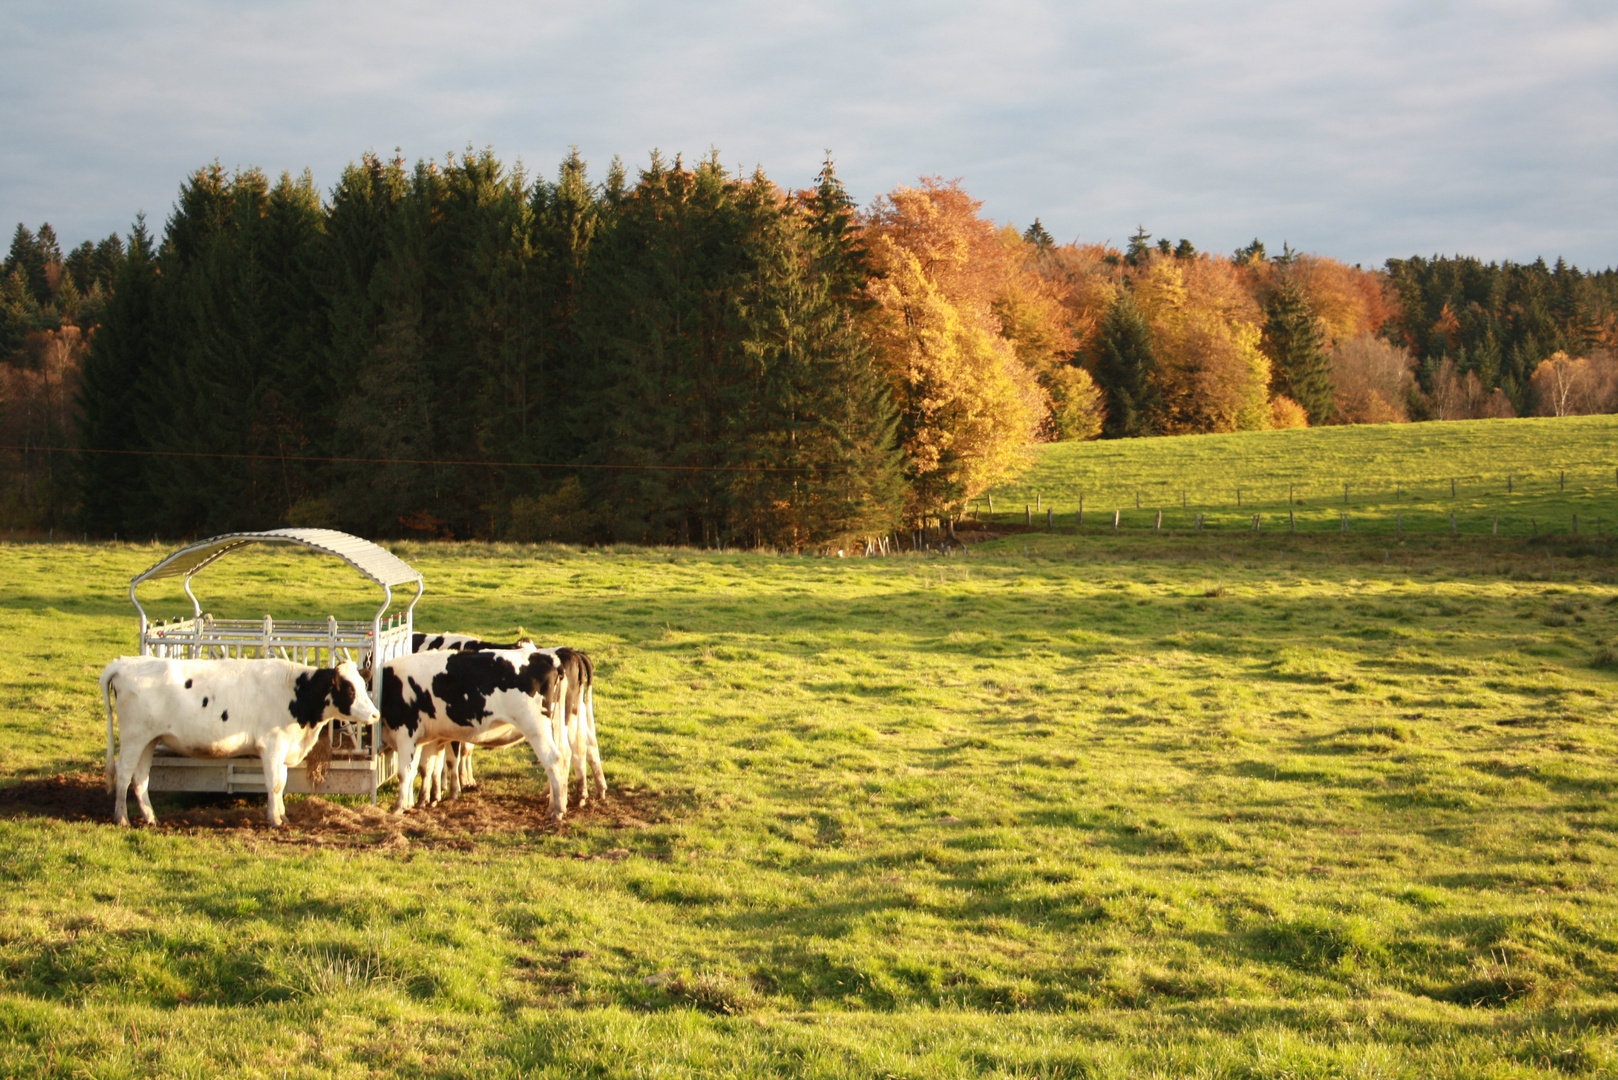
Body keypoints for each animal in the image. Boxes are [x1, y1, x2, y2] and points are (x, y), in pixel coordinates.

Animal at [101, 660, 378, 829]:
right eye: (350, 690)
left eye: (364, 685)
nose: (375, 715)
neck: (296, 693)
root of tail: (123, 663)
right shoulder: (272, 745)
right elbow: (274, 784)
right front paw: (275, 820)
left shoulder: (284, 747)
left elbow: (282, 783)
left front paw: (283, 815)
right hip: (134, 737)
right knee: (123, 773)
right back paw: (122, 818)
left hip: (149, 740)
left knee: (140, 778)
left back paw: (151, 818)